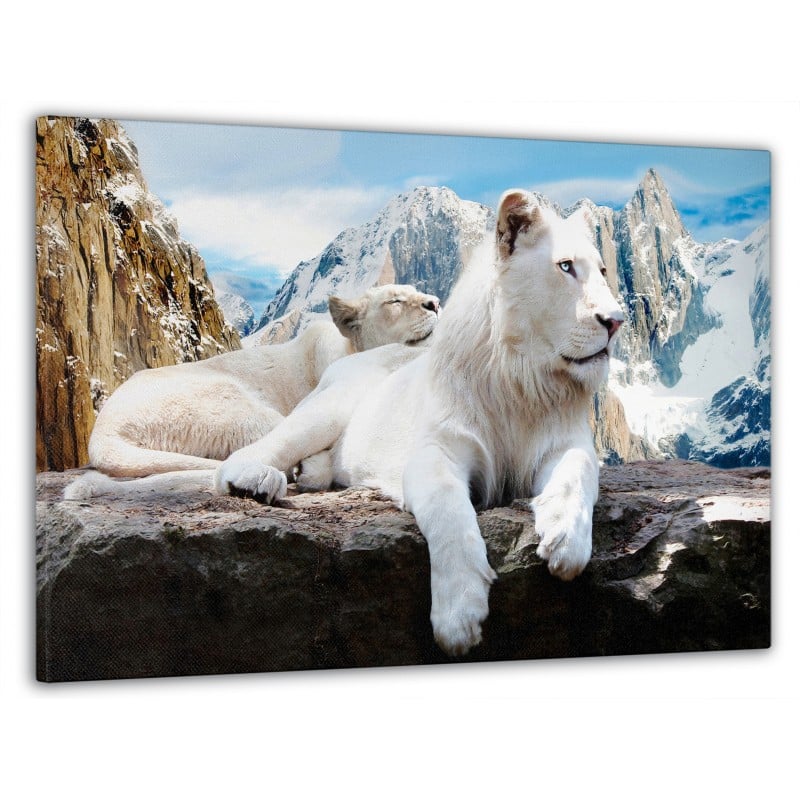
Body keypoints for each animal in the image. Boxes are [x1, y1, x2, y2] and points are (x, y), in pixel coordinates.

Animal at [213, 189, 625, 656]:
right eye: (565, 267)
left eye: (604, 271)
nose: (616, 321)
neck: (523, 379)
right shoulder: (437, 449)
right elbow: (449, 513)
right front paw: (459, 617)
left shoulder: (566, 443)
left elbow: (578, 475)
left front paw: (566, 541)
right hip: (330, 407)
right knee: (250, 454)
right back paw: (256, 480)